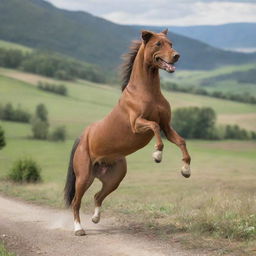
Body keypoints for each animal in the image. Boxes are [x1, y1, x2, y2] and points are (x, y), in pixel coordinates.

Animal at [65, 29, 191, 235]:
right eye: (158, 44)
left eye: (171, 43)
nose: (176, 56)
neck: (147, 92)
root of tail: (83, 137)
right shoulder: (137, 124)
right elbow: (154, 127)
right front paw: (157, 154)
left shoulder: (167, 126)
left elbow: (181, 141)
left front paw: (186, 170)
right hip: (83, 177)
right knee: (76, 202)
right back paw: (78, 229)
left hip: (113, 179)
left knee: (98, 196)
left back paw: (95, 219)